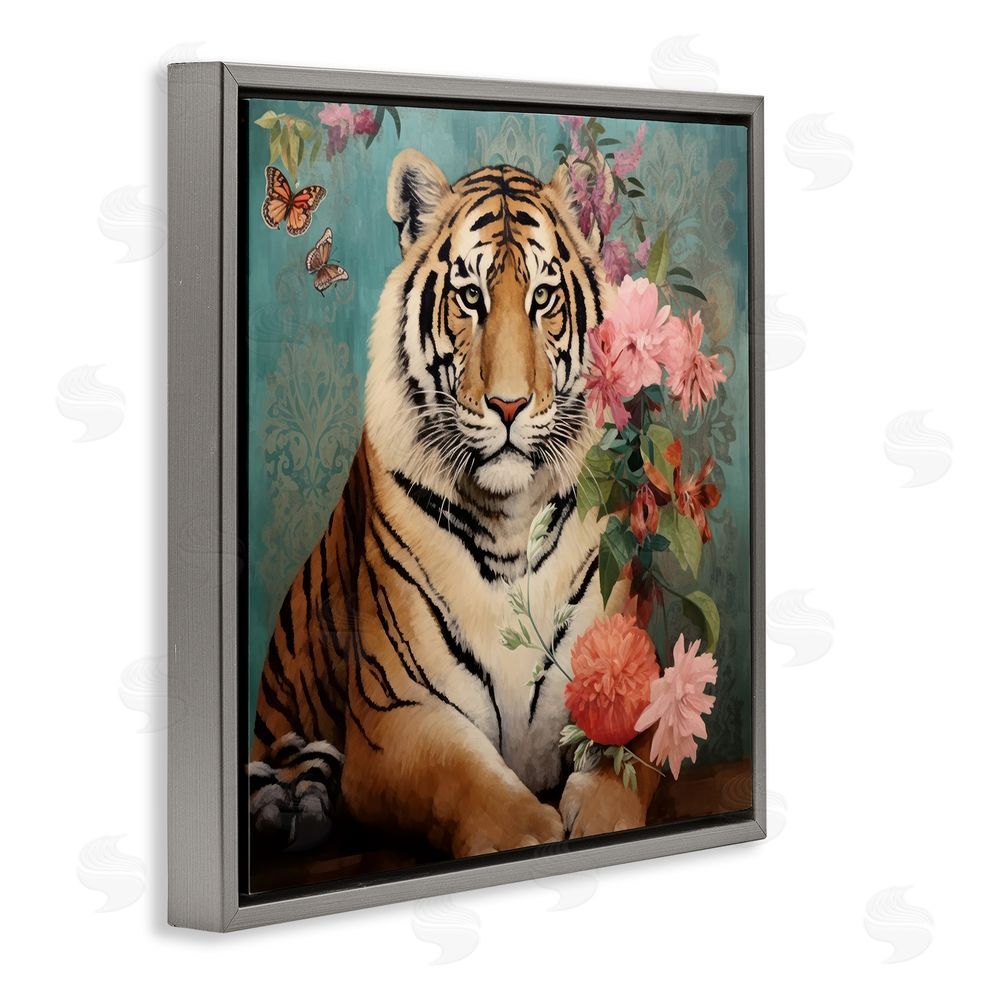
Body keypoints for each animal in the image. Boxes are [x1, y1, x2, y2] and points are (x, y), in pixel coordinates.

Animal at [249, 149, 662, 860]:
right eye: (470, 296)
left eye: (543, 297)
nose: (508, 405)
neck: (511, 518)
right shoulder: (395, 717)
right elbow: (470, 785)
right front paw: (534, 831)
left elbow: (626, 759)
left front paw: (601, 818)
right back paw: (293, 812)